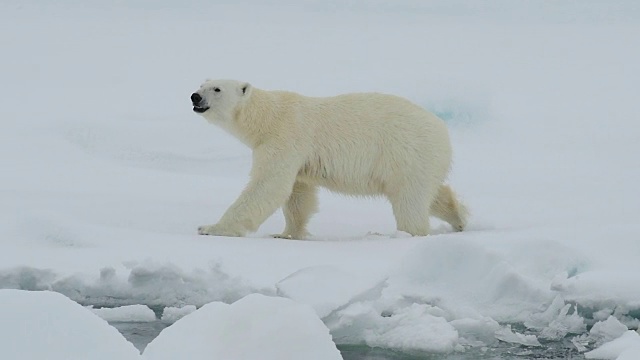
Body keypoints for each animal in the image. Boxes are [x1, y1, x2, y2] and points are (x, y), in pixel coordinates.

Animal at [189, 79, 464, 239]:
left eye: (217, 89)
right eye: (202, 83)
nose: (195, 96)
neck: (267, 117)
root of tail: (443, 130)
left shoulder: (285, 138)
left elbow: (268, 185)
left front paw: (211, 228)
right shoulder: (296, 154)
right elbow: (298, 194)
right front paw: (287, 234)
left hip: (408, 153)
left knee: (410, 200)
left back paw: (408, 233)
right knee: (432, 194)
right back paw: (459, 219)